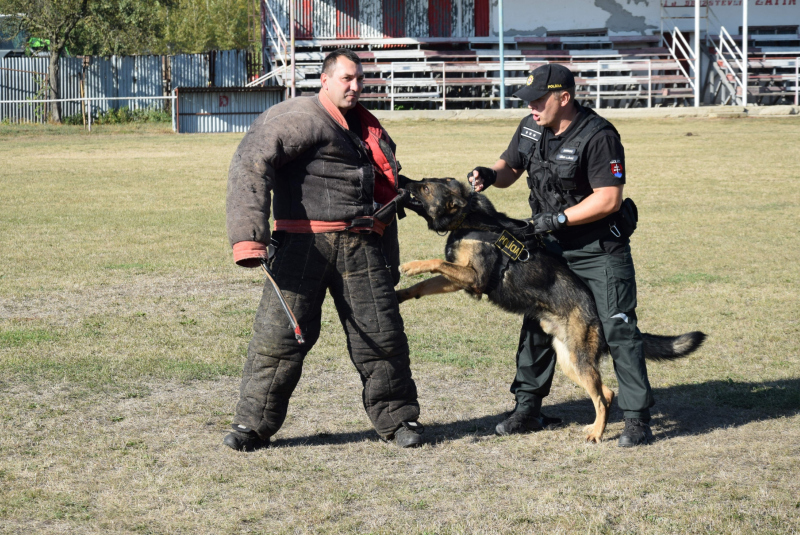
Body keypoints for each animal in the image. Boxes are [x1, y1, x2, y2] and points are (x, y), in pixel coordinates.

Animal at [396, 178, 704, 442]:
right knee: (606, 393)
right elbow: (423, 285)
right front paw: (399, 294)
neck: (469, 218)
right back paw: (594, 426)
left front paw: (410, 265)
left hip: (579, 360)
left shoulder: (474, 278)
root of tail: (599, 315)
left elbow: (435, 262)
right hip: (571, 363)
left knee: (602, 397)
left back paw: (598, 433)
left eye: (424, 187)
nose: (402, 180)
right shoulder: (459, 279)